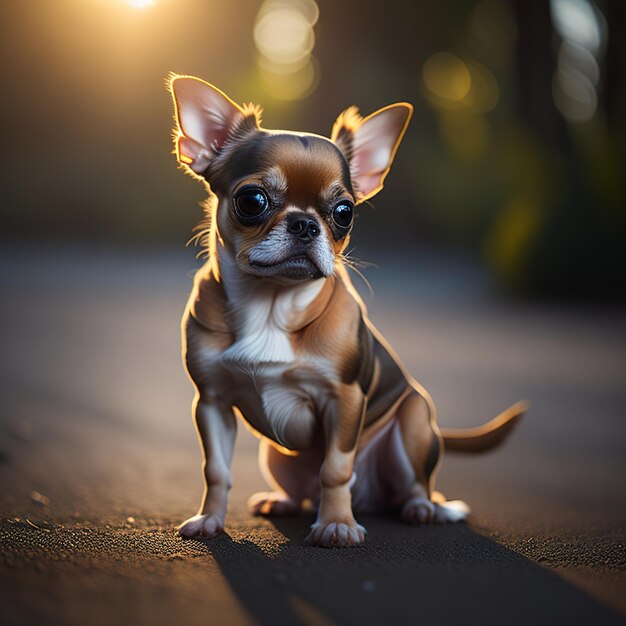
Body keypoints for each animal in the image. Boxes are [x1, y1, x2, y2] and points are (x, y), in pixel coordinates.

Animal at [167, 75, 520, 544]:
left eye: (344, 212)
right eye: (252, 201)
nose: (304, 224)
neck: (271, 306)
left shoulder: (346, 399)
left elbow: (335, 469)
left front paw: (336, 524)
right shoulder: (212, 402)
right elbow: (217, 470)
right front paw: (209, 519)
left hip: (414, 421)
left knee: (414, 484)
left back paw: (423, 508)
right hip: (274, 454)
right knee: (303, 490)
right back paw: (282, 501)